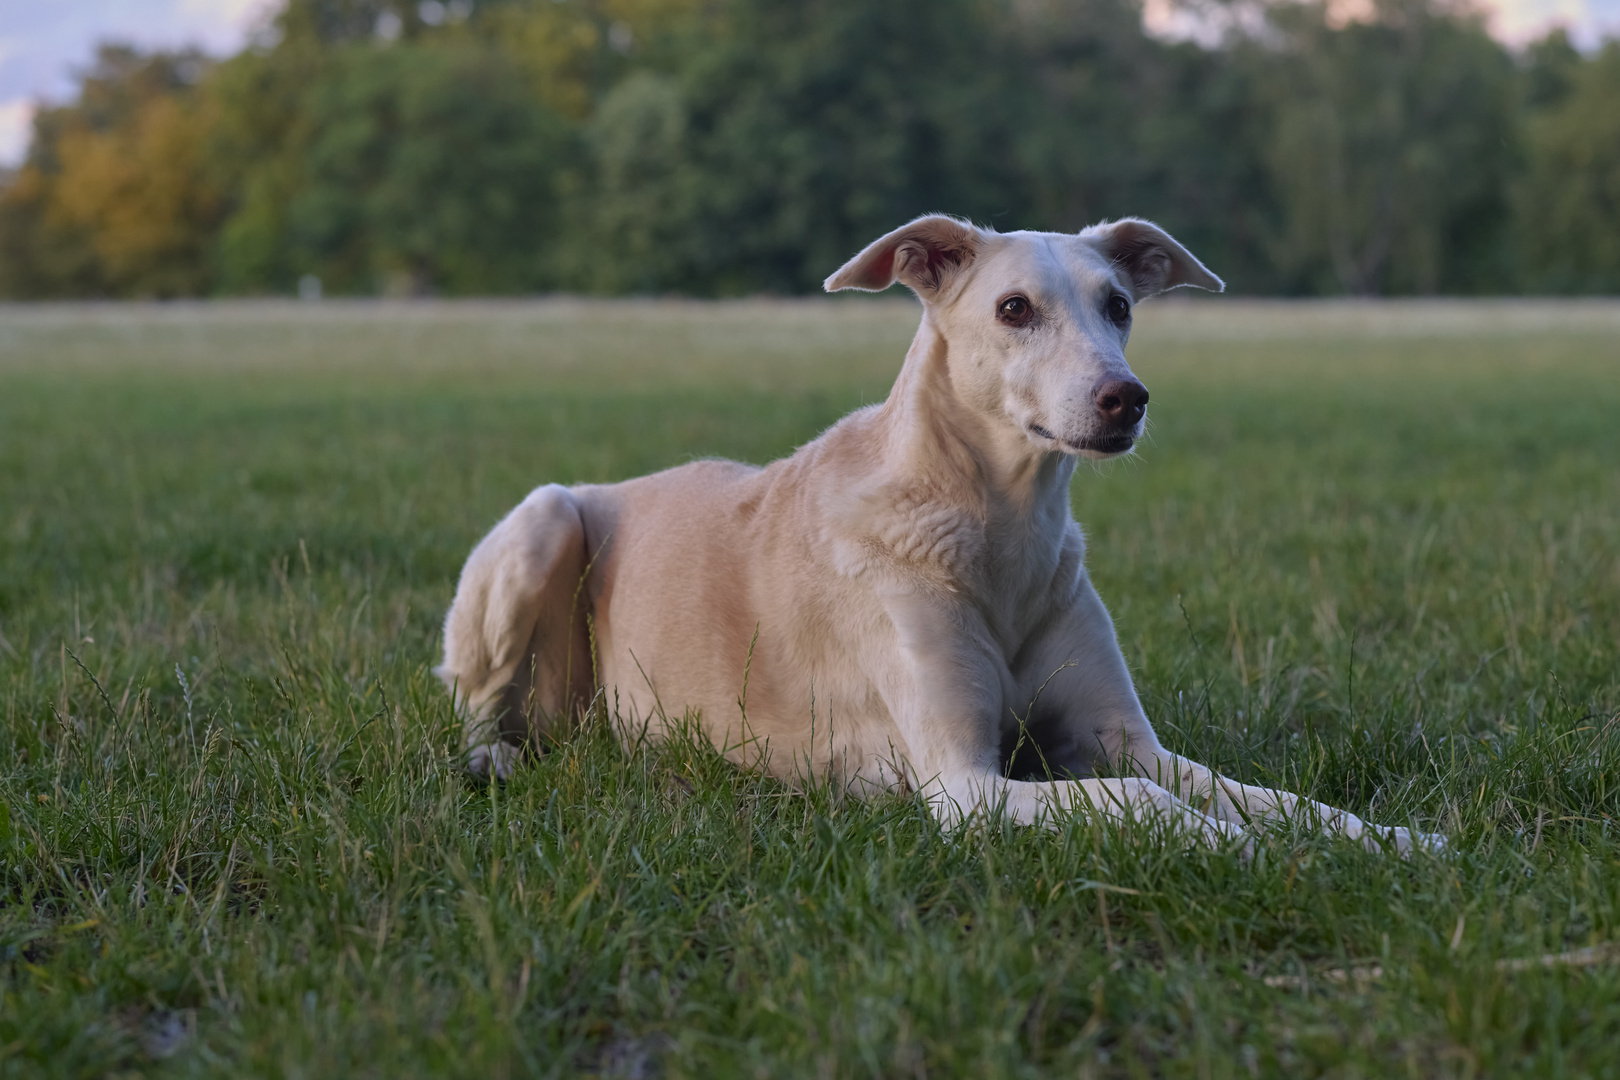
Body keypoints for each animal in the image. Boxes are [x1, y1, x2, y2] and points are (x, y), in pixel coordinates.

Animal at [440, 216, 1445, 854]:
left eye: (1119, 303)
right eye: (1013, 308)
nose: (1126, 399)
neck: (998, 531)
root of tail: (609, 484)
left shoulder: (1125, 738)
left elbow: (1257, 794)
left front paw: (1390, 838)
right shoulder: (962, 787)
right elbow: (1142, 801)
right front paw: (1257, 851)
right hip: (544, 522)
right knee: (483, 707)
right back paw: (495, 757)